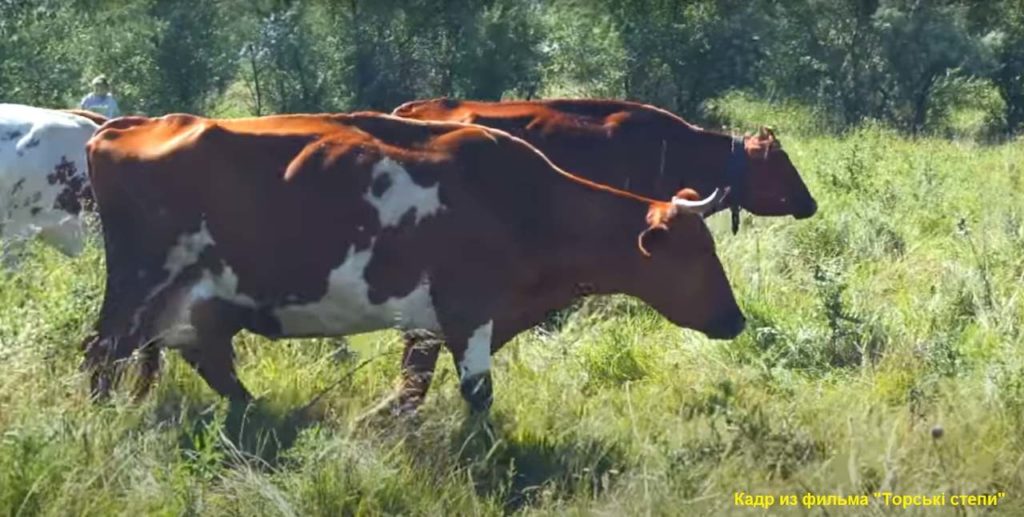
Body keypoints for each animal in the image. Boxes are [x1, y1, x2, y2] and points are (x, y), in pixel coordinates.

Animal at [81, 112, 745, 414]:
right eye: (697, 252)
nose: (736, 320)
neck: (523, 202)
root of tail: (133, 124)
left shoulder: (427, 324)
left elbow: (411, 387)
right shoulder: (468, 310)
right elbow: (476, 395)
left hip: (197, 299)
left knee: (207, 358)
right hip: (139, 288)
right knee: (101, 355)